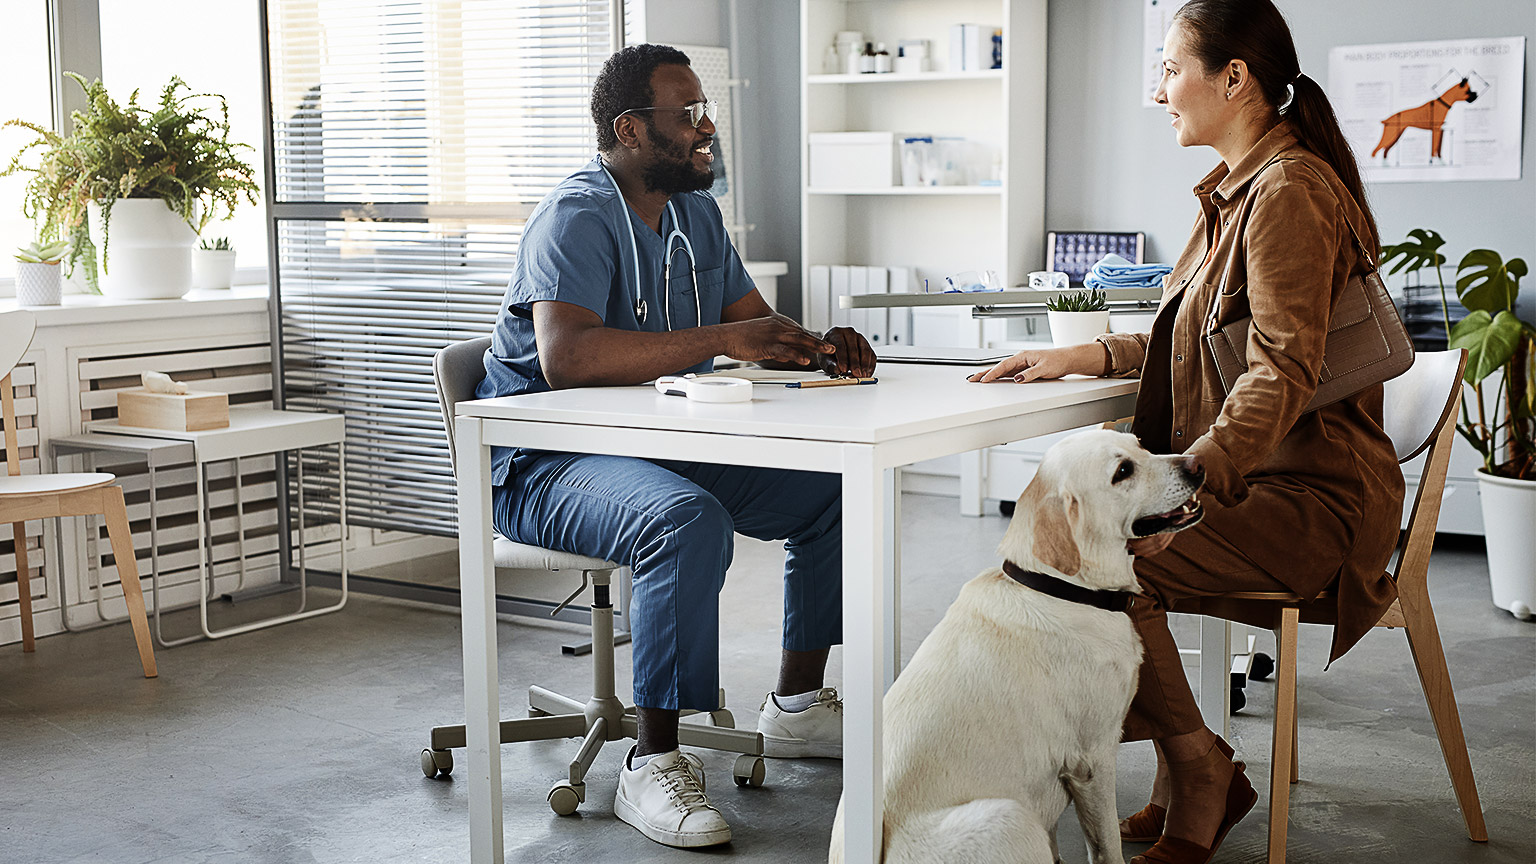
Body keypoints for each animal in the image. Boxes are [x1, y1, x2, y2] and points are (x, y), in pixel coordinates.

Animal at [829, 427, 1198, 860]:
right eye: (1122, 471)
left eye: (1140, 444)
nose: (1197, 464)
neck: (1062, 590)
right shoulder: (1093, 759)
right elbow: (1106, 846)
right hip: (1010, 816)